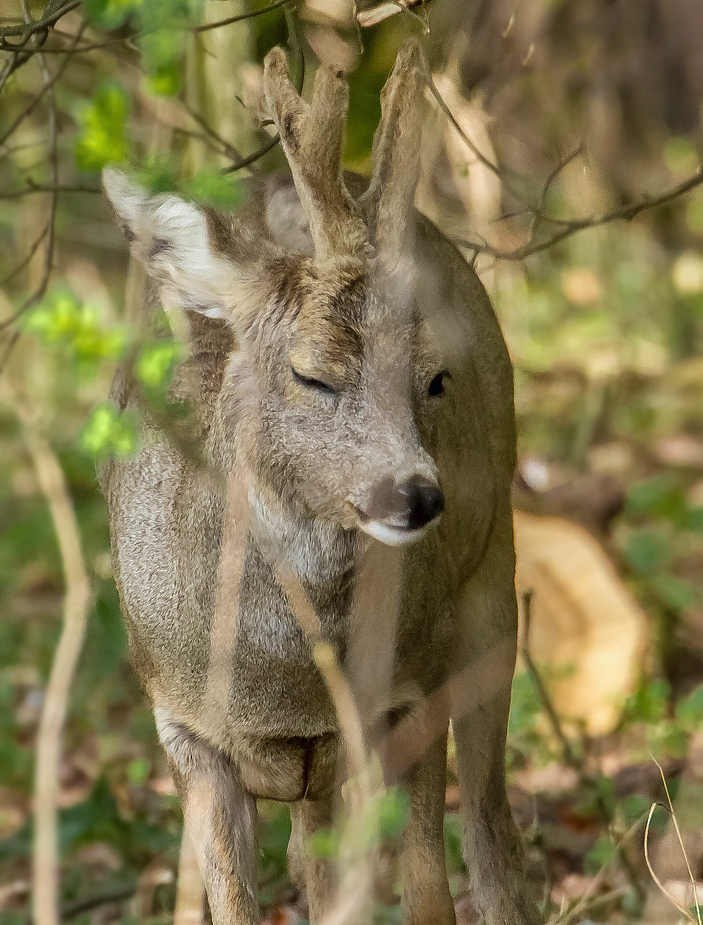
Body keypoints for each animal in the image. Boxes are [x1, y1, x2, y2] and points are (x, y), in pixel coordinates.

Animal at [100, 39, 540, 920]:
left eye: (435, 379)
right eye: (311, 374)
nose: (416, 495)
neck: (280, 679)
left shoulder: (407, 691)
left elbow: (426, 889)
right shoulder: (184, 726)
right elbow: (238, 899)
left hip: (490, 591)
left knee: (489, 829)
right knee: (310, 858)